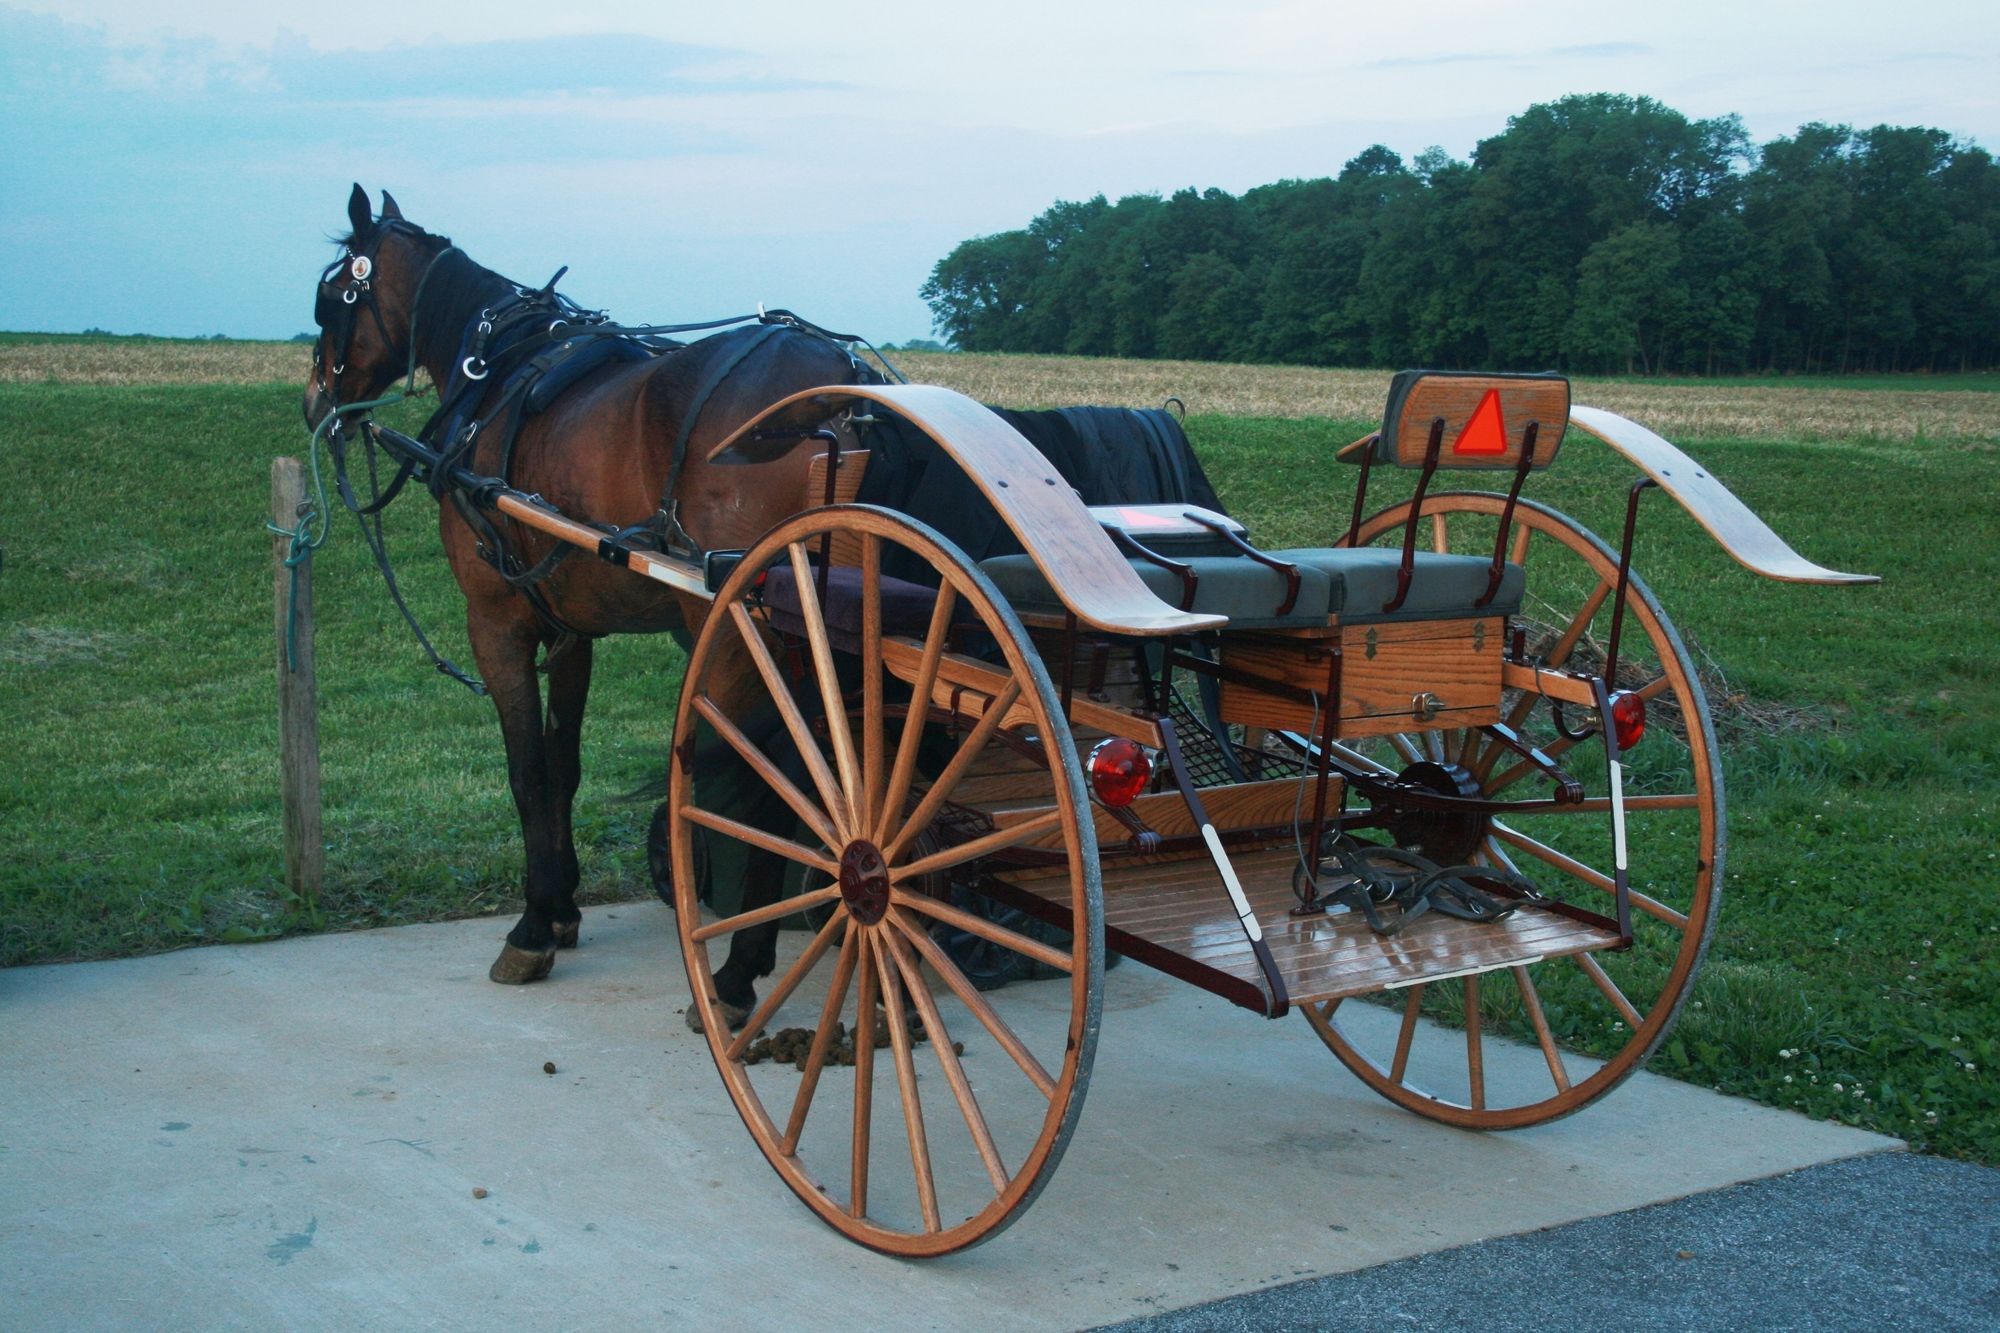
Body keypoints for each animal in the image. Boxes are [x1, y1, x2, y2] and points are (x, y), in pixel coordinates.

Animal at [306, 184, 876, 1016]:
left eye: (331, 298)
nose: (314, 398)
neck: (497, 373)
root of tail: (841, 390)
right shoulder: (570, 630)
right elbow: (563, 763)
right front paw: (564, 906)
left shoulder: (496, 622)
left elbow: (525, 770)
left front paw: (532, 926)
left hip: (739, 628)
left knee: (767, 784)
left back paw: (737, 972)